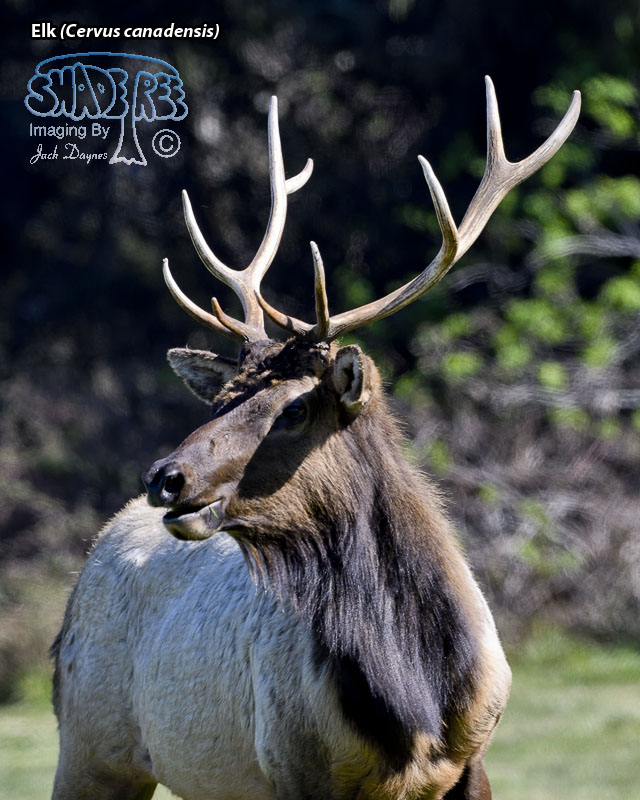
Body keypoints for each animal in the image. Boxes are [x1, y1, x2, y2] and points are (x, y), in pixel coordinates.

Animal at [51, 77, 580, 800]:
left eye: (297, 407)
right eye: (220, 398)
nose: (164, 476)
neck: (416, 702)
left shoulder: (476, 760)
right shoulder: (292, 766)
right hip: (88, 743)